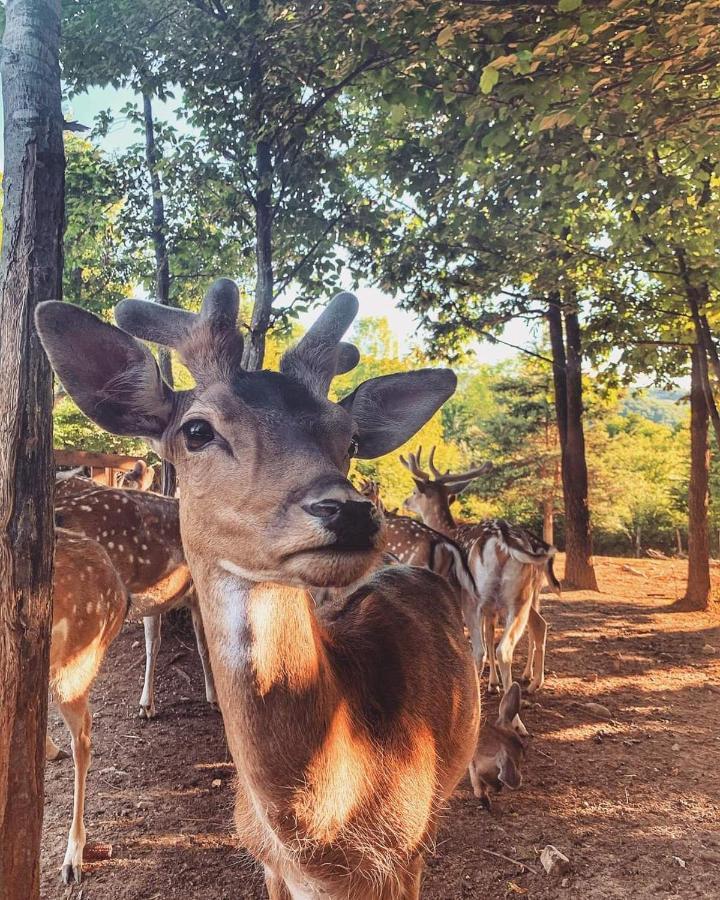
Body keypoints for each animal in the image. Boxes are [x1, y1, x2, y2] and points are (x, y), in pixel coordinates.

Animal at [54, 482, 215, 720]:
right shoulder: (198, 593)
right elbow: (205, 646)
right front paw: (214, 698)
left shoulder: (158, 600)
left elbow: (153, 643)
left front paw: (146, 706)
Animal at [400, 446, 564, 736]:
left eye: (416, 492)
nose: (405, 501)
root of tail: (503, 540)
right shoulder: (492, 608)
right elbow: (489, 636)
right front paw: (494, 683)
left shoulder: (472, 603)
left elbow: (478, 642)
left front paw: (489, 684)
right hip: (520, 597)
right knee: (522, 635)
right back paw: (524, 700)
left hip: (476, 597)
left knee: (486, 648)